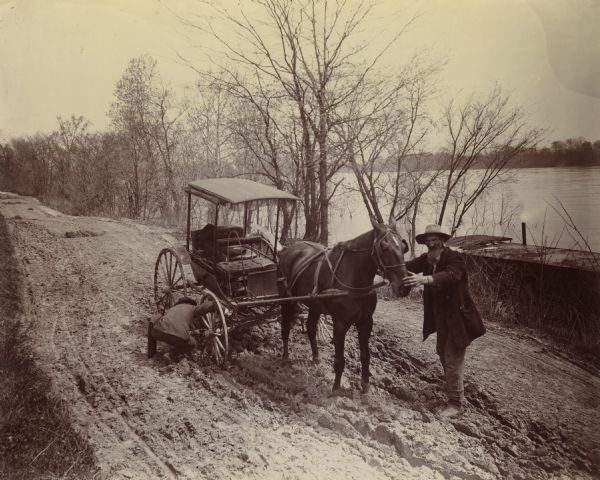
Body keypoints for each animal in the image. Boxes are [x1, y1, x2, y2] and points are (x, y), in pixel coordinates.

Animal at [278, 218, 410, 394]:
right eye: (384, 246)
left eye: (403, 246)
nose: (404, 287)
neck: (356, 280)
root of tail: (288, 249)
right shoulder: (340, 324)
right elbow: (340, 359)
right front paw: (336, 387)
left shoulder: (366, 322)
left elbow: (365, 355)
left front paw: (365, 385)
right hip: (286, 299)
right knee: (285, 326)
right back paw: (285, 357)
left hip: (314, 304)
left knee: (311, 326)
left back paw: (316, 357)